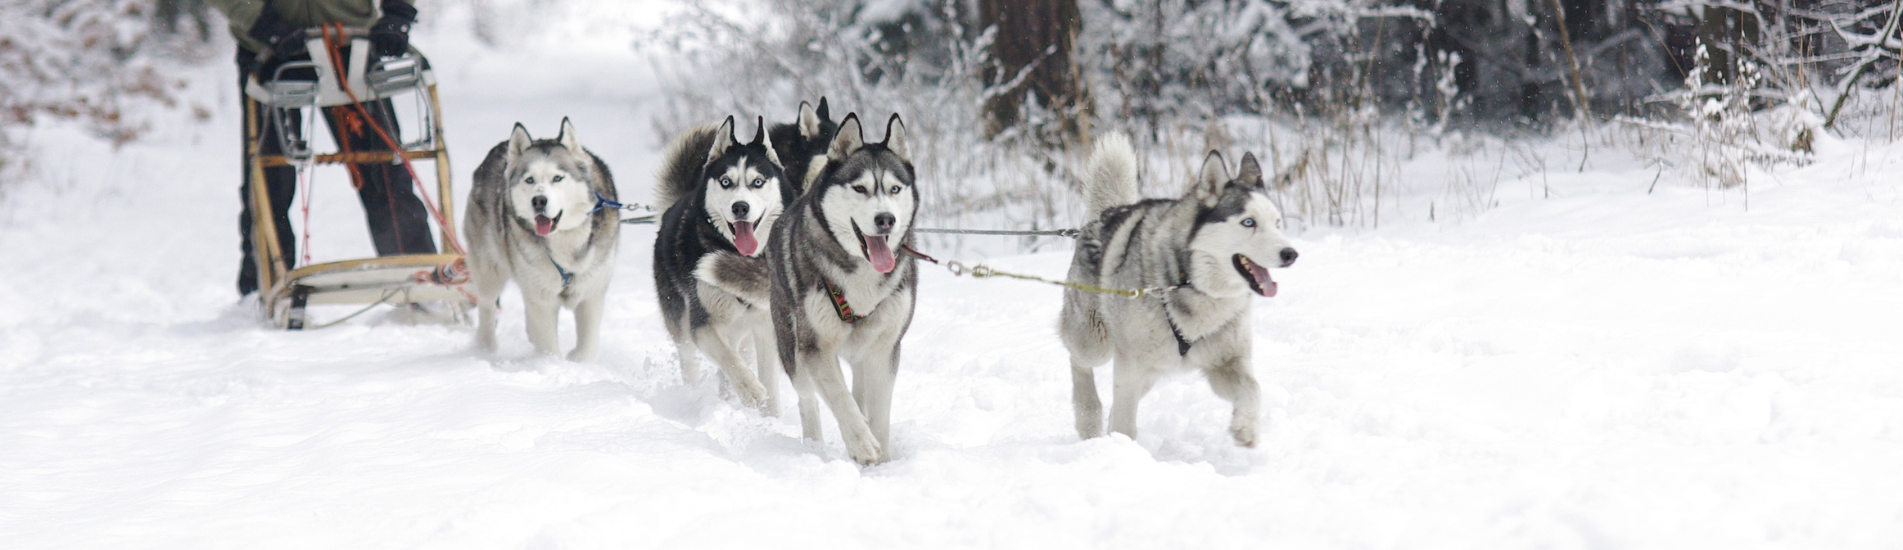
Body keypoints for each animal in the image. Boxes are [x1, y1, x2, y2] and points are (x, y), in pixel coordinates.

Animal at [466, 118, 620, 359]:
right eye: (529, 180)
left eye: (557, 178)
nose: (538, 200)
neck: (565, 241)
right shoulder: (541, 296)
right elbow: (548, 345)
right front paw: (552, 364)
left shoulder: (591, 293)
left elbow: (587, 346)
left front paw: (578, 360)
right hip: (489, 269)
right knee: (487, 304)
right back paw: (485, 346)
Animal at [650, 114, 791, 407]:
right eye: (726, 182)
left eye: (757, 182)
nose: (740, 207)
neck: (738, 255)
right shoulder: (703, 323)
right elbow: (729, 360)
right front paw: (751, 390)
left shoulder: (764, 327)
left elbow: (770, 383)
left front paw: (770, 412)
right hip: (682, 325)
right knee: (693, 361)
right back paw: (695, 396)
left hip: (742, 331)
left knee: (738, 355)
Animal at [772, 113, 921, 464]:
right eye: (860, 188)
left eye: (895, 188)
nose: (886, 219)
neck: (862, 273)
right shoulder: (815, 347)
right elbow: (839, 397)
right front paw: (861, 443)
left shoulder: (884, 348)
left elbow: (879, 410)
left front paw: (882, 459)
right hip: (791, 346)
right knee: (809, 399)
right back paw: (814, 446)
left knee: (859, 388)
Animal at [1065, 134, 1301, 445]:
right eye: (1248, 222)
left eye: (1277, 223)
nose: (1291, 254)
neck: (1192, 284)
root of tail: (1107, 214)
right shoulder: (1130, 365)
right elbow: (1125, 422)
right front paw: (1123, 448)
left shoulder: (1225, 361)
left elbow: (1253, 389)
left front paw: (1246, 428)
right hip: (1097, 342)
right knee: (1078, 361)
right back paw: (1088, 417)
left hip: (1152, 370)